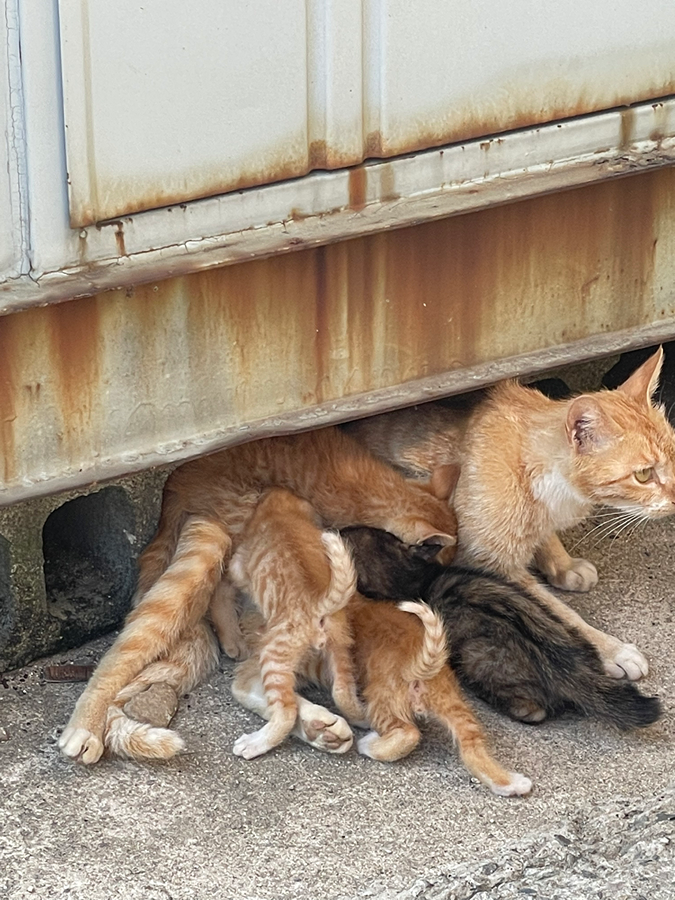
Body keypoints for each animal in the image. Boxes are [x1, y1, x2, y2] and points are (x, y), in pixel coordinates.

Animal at [227, 488, 364, 756]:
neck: (279, 513)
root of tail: (319, 604)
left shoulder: (238, 562)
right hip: (340, 648)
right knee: (342, 694)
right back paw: (361, 717)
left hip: (274, 657)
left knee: (285, 712)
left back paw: (255, 743)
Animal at [340, 528, 664, 732]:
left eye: (347, 532)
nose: (336, 527)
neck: (416, 577)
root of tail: (573, 670)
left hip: (480, 656)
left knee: (534, 709)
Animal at [346, 348, 675, 680]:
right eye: (644, 474)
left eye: (674, 455)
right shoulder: (492, 564)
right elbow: (559, 612)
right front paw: (611, 649)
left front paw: (563, 564)